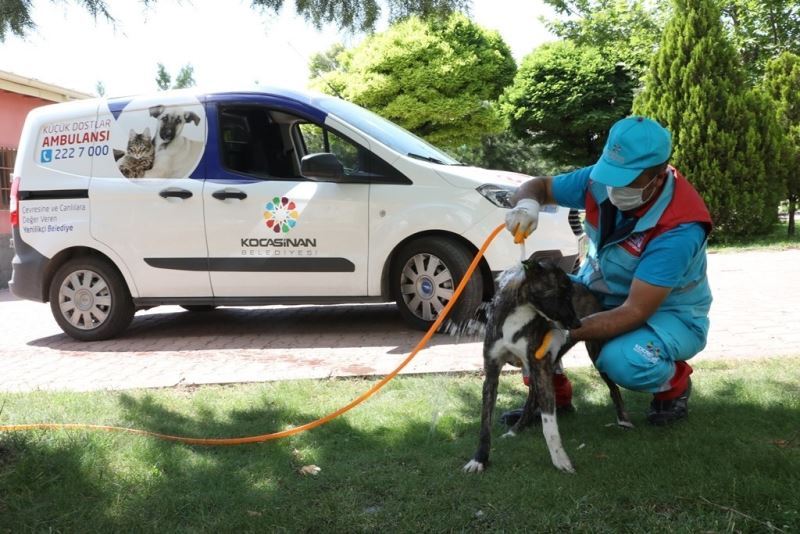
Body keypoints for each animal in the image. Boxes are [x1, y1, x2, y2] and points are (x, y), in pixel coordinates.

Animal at [462, 260, 632, 474]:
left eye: (570, 294)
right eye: (562, 293)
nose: (577, 324)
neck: (518, 313)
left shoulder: (540, 365)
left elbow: (549, 425)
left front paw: (560, 459)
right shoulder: (493, 373)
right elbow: (485, 425)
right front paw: (479, 459)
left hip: (595, 350)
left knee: (613, 387)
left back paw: (623, 418)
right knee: (532, 397)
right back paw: (515, 430)